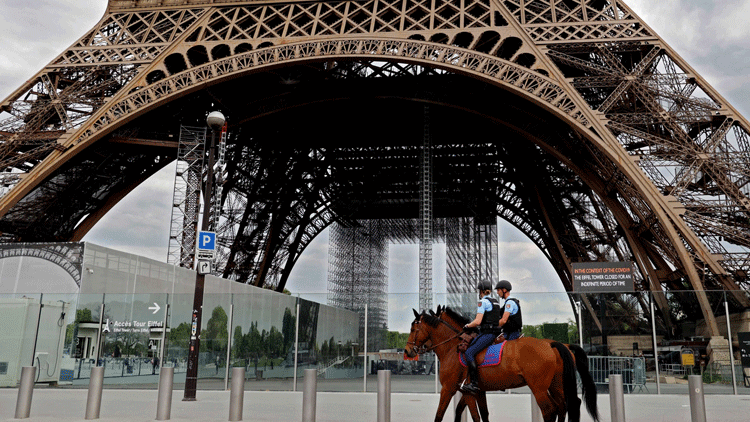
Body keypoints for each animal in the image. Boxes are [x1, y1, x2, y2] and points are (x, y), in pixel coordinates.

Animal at [406, 306, 600, 422]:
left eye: (413, 328)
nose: (408, 351)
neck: (454, 346)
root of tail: (552, 344)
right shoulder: (474, 391)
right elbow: (478, 414)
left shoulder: (450, 389)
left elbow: (442, 415)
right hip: (556, 384)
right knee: (566, 405)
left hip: (539, 387)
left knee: (550, 410)